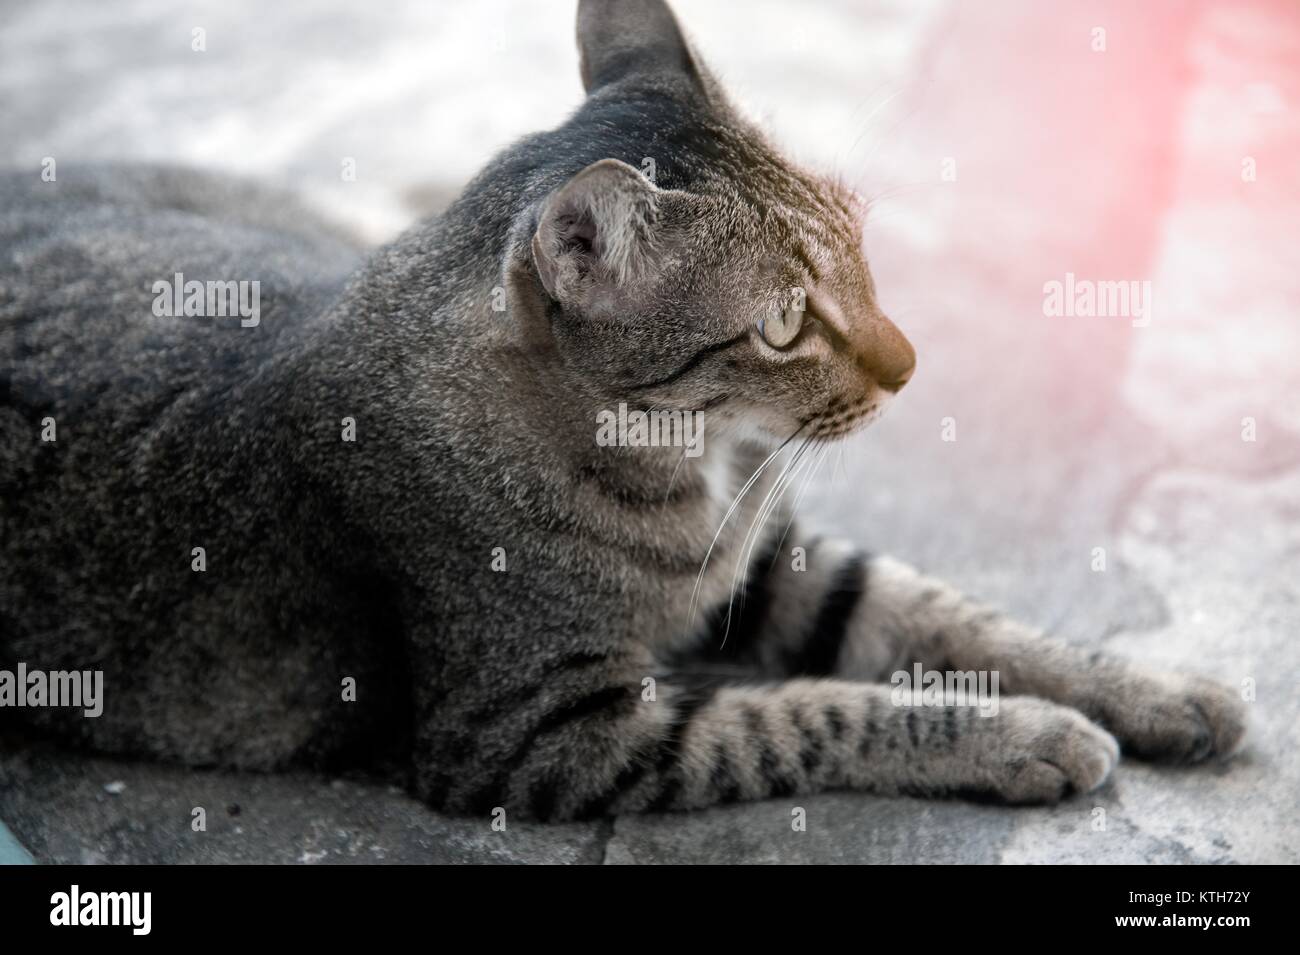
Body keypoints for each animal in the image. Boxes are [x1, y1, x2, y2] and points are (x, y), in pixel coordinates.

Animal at [0, 1, 1242, 821]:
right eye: (783, 321)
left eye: (858, 242)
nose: (909, 362)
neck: (686, 460)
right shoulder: (544, 736)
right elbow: (813, 715)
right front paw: (1027, 734)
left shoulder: (770, 559)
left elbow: (960, 620)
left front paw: (1157, 689)